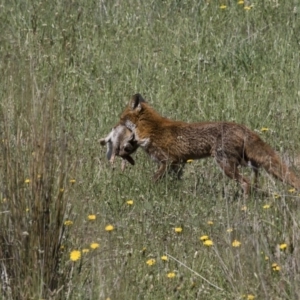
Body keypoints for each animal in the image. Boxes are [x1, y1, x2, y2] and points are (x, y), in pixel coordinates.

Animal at [117, 92, 300, 195]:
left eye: (120, 118)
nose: (115, 126)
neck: (152, 128)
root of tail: (242, 127)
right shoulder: (178, 164)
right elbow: (175, 181)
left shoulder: (169, 160)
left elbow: (154, 179)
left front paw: (149, 191)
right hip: (244, 161)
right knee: (255, 175)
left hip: (225, 164)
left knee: (246, 182)